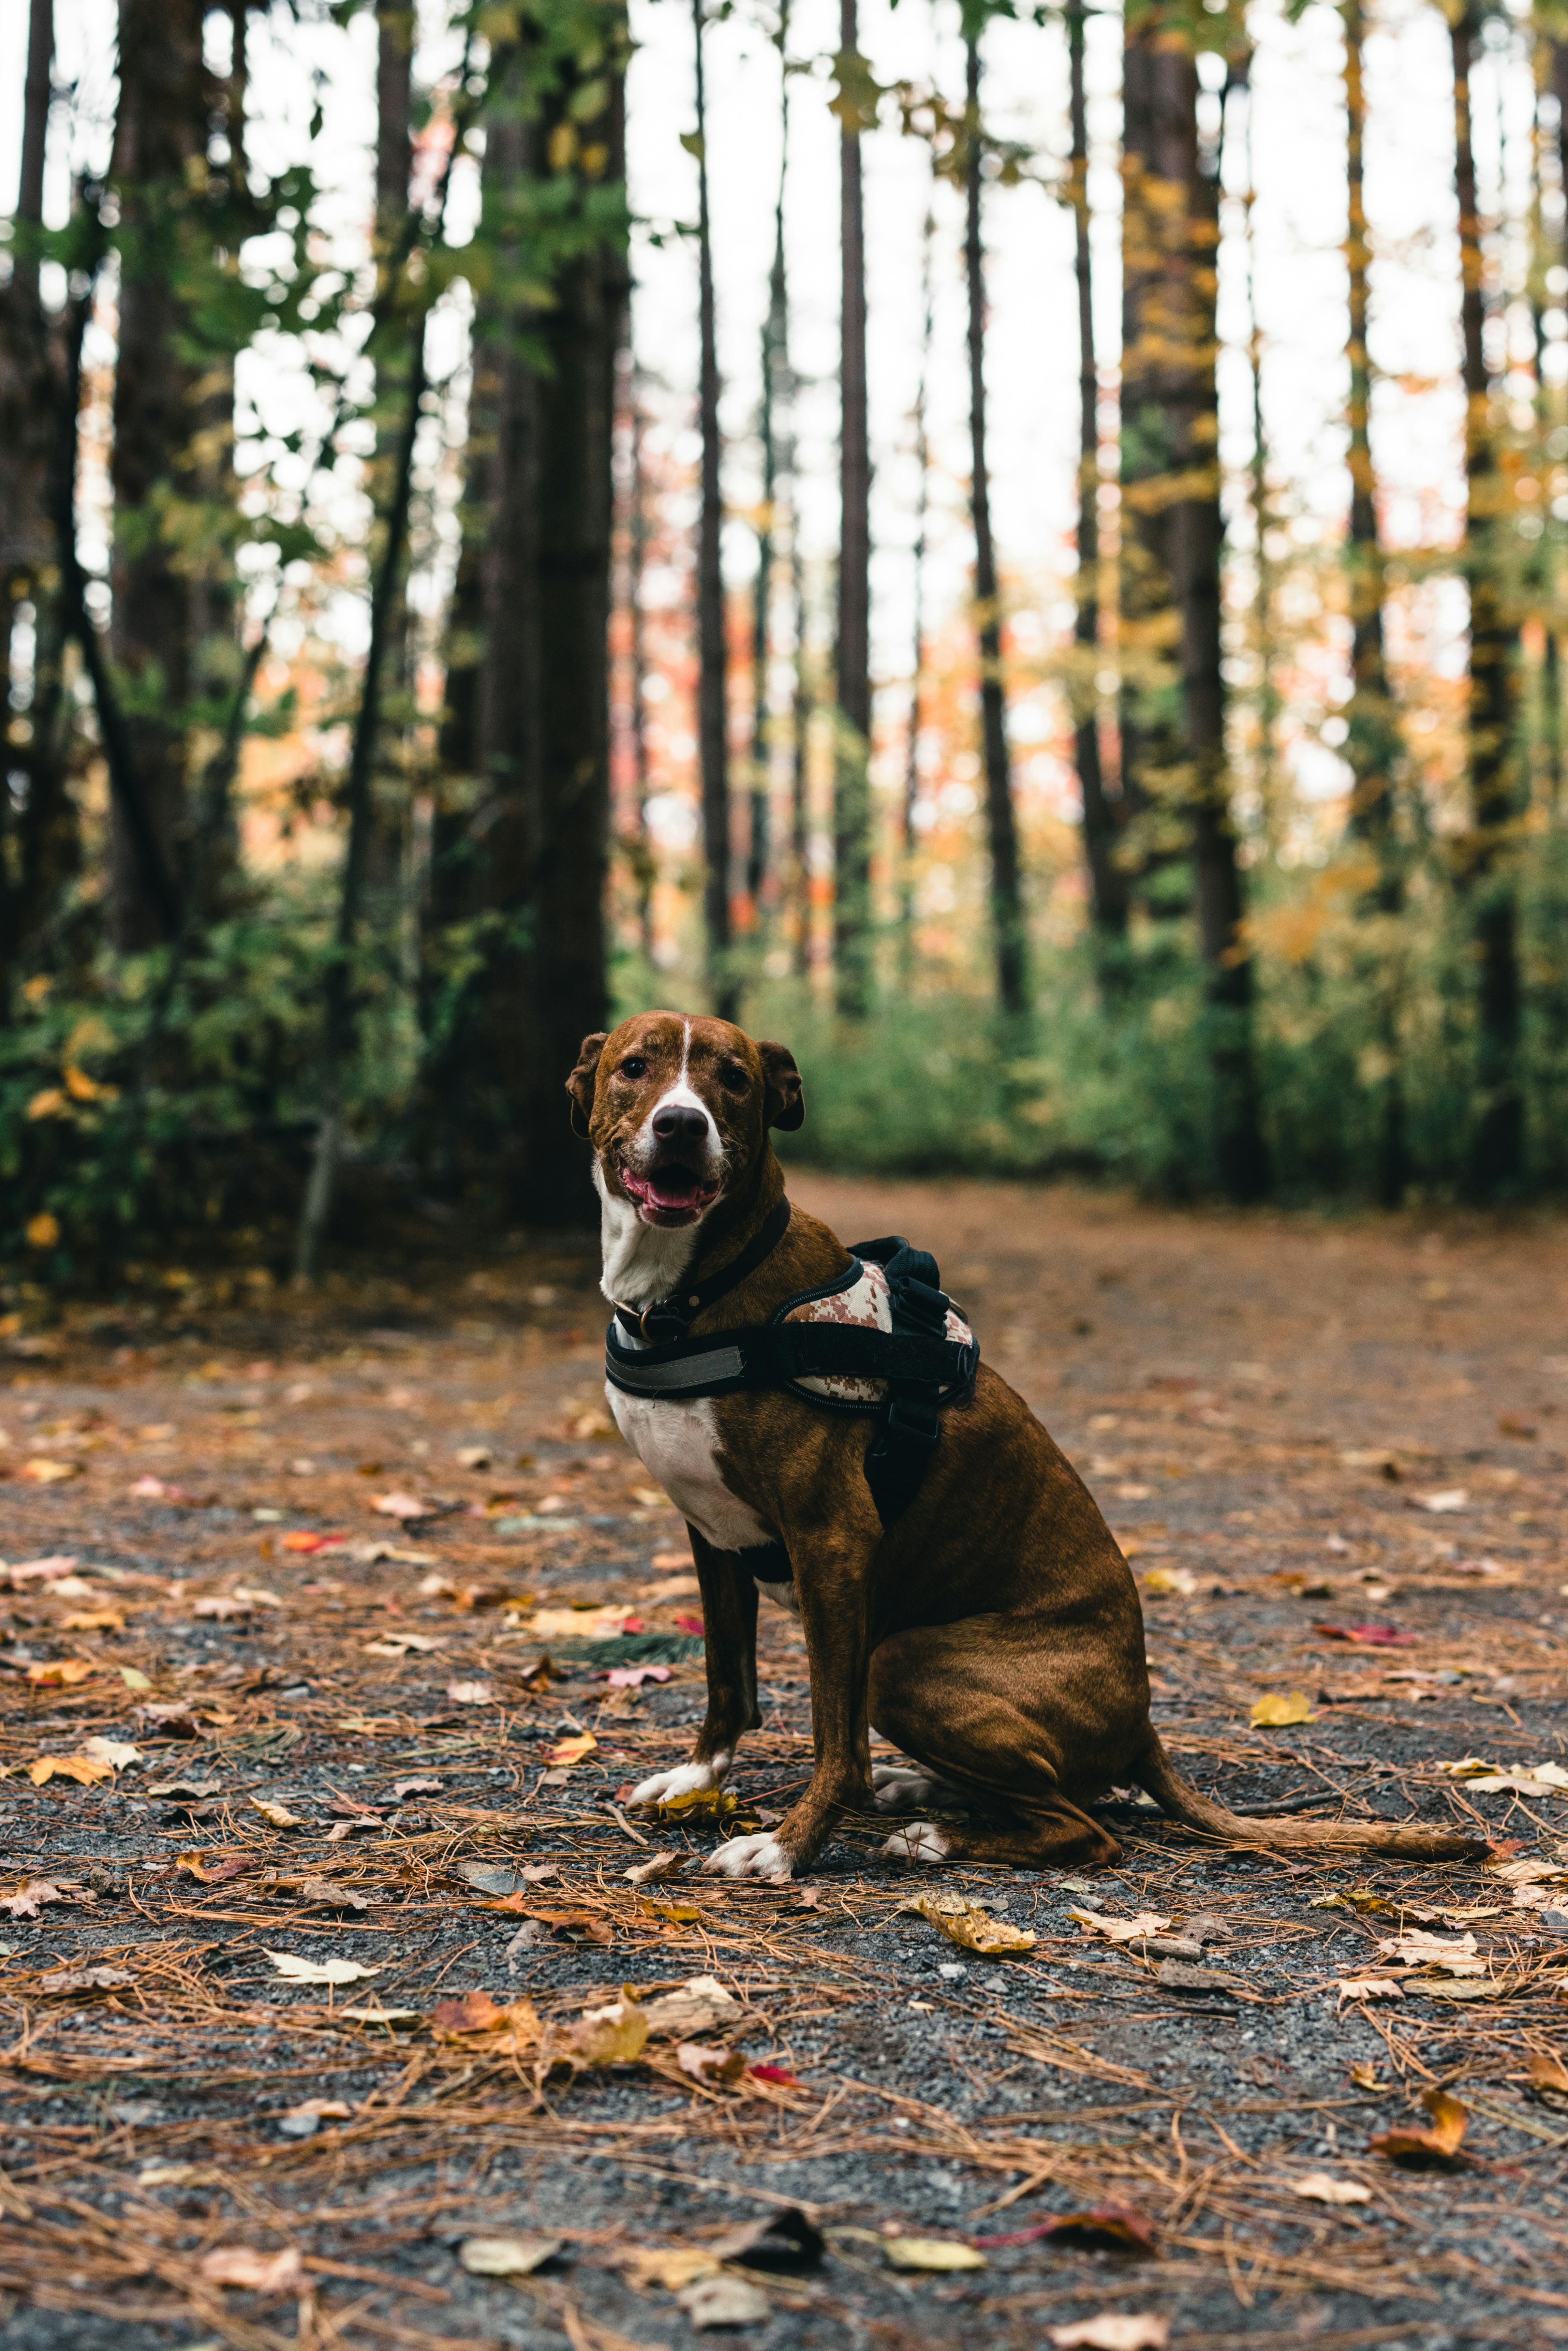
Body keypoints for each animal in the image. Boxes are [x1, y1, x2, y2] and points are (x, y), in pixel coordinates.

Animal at [571, 1016, 1495, 1890]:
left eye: (733, 1078)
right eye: (634, 1067)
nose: (681, 1123)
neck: (694, 1296)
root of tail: (1142, 1721)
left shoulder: (831, 1542)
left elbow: (834, 1739)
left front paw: (788, 1847)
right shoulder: (713, 1536)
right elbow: (728, 1679)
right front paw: (697, 1781)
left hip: (903, 1659)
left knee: (1084, 1827)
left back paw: (939, 1834)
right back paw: (930, 1791)